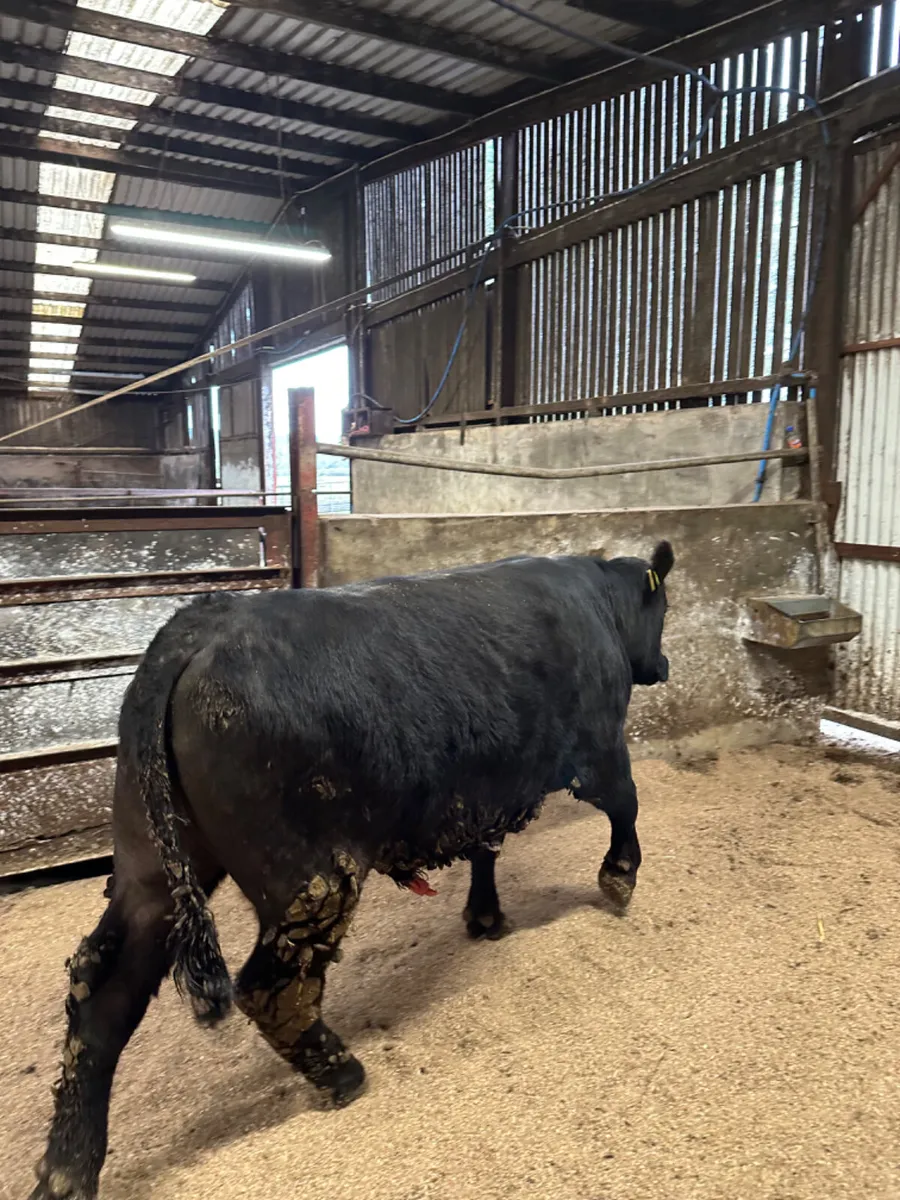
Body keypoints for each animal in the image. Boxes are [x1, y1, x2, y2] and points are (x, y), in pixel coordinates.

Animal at [30, 542, 674, 1199]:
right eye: (665, 608)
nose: (663, 664)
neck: (597, 600)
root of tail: (199, 625)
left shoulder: (484, 790)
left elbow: (485, 850)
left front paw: (486, 917)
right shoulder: (598, 746)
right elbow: (626, 804)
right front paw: (619, 879)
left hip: (151, 870)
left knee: (102, 991)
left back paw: (67, 1169)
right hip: (312, 879)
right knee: (267, 985)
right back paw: (342, 1074)